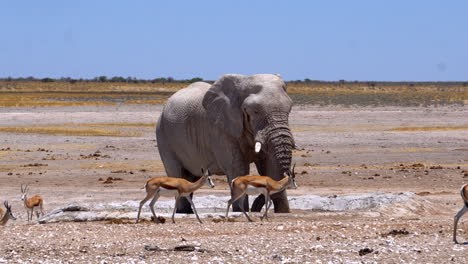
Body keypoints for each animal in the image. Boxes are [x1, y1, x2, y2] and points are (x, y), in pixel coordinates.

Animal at [157, 73, 296, 213]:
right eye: (255, 111)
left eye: (289, 109)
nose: (255, 208)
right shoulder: (221, 130)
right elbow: (238, 168)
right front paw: (240, 210)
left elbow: (268, 166)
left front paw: (283, 212)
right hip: (163, 136)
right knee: (177, 172)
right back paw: (183, 211)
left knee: (190, 177)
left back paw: (186, 211)